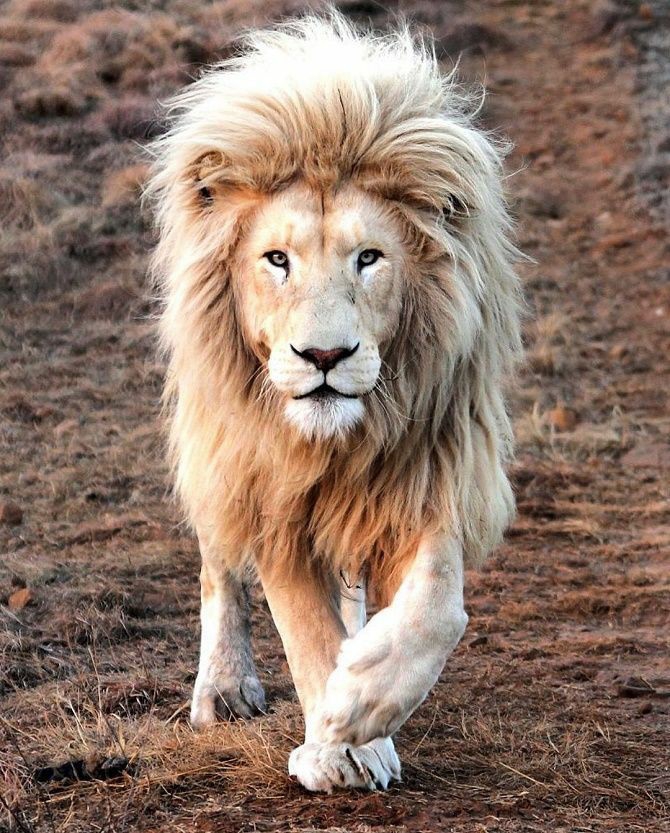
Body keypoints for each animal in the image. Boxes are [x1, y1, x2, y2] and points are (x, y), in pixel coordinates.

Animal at [147, 12, 522, 792]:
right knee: (218, 567)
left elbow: (439, 607)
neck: (338, 443)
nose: (324, 358)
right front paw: (342, 744)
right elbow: (305, 629)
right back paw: (223, 688)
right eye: (277, 259)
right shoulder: (271, 494)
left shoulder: (431, 468)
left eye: (369, 257)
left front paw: (366, 697)